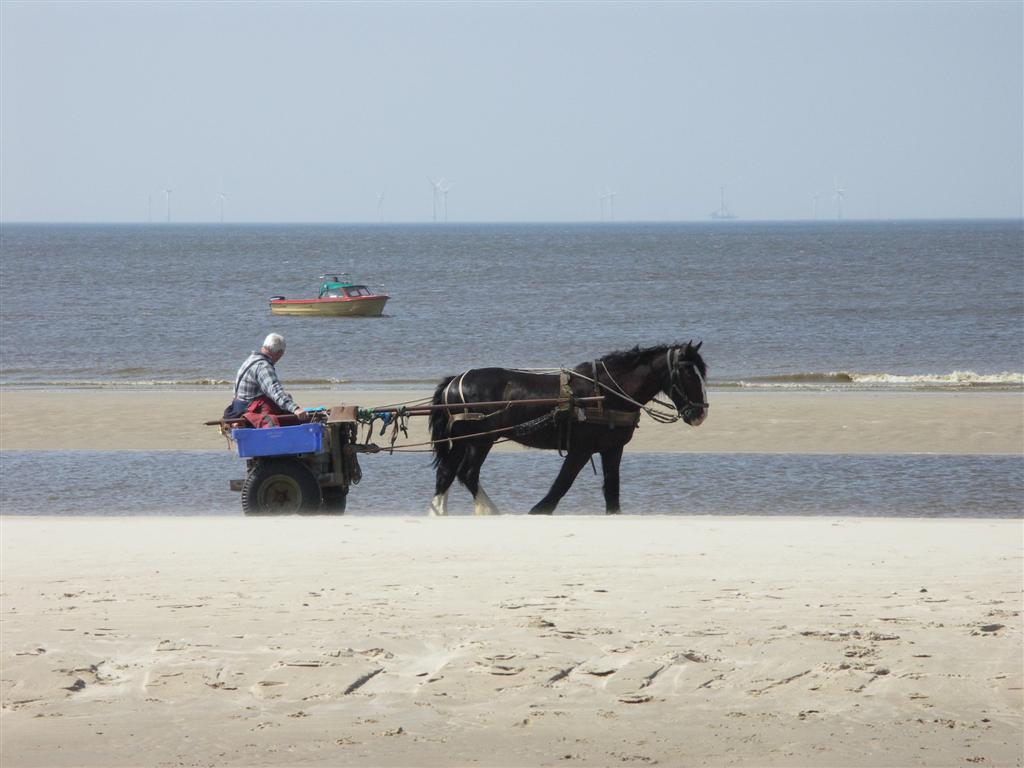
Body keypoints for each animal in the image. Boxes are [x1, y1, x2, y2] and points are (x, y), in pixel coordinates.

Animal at [427, 342, 708, 515]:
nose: (701, 413)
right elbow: (563, 483)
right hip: (480, 440)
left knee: (446, 473)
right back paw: (489, 510)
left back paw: (439, 511)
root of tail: (454, 381)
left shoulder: (612, 448)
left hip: (463, 439)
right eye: (688, 372)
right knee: (468, 473)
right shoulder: (581, 449)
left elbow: (612, 487)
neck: (606, 392)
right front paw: (539, 510)